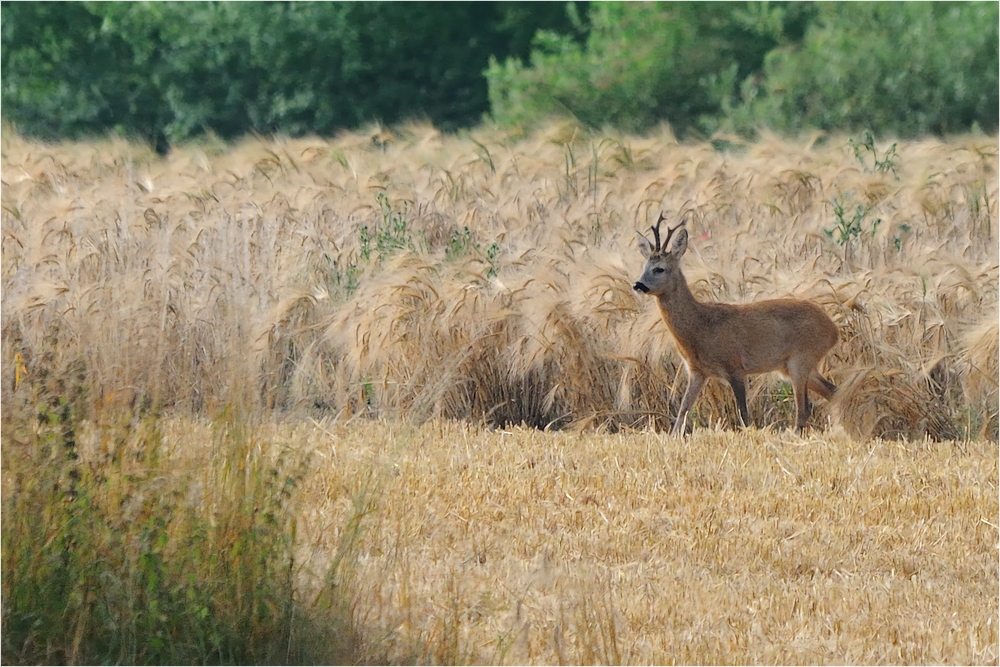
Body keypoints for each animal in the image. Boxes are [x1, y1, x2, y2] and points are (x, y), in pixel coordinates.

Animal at [632, 214, 836, 434]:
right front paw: (673, 436)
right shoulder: (697, 371)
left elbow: (743, 414)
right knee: (833, 391)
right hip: (795, 366)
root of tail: (834, 330)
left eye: (659, 269)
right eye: (643, 267)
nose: (638, 284)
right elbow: (683, 410)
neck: (699, 326)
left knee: (804, 407)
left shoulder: (735, 366)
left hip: (801, 359)